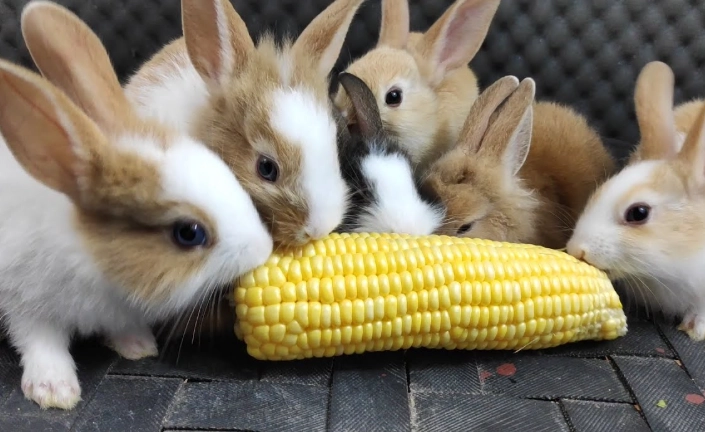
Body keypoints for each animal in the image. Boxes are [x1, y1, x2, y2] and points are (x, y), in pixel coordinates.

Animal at [2, 1, 272, 410]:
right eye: (189, 233)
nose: (264, 247)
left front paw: (138, 347)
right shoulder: (25, 301)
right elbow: (41, 341)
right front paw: (55, 392)